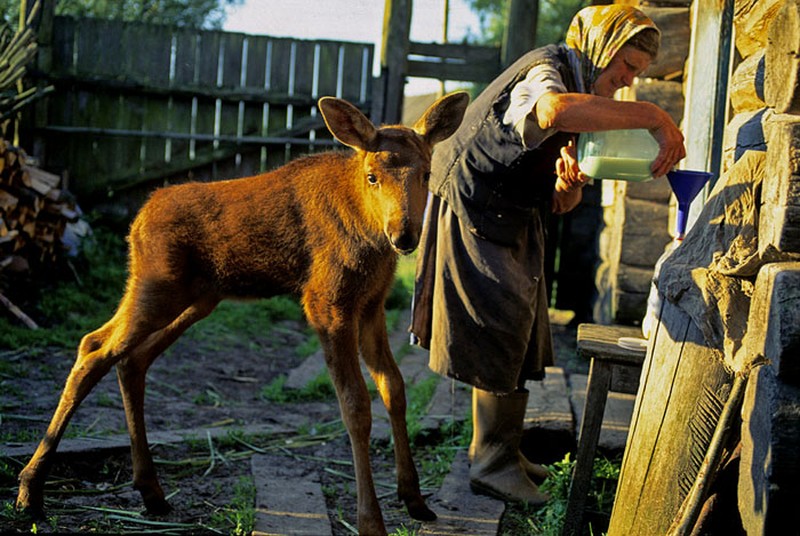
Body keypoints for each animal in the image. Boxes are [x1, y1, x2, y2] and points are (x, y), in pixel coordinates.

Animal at [17, 90, 468, 532]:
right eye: (372, 175)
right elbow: (355, 405)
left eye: (426, 173)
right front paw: (370, 520)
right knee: (93, 347)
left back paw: (150, 490)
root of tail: (138, 219)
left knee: (131, 359)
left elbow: (394, 388)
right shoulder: (326, 303)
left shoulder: (371, 306)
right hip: (155, 287)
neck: (369, 237)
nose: (404, 235)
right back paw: (30, 488)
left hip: (196, 298)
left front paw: (414, 498)